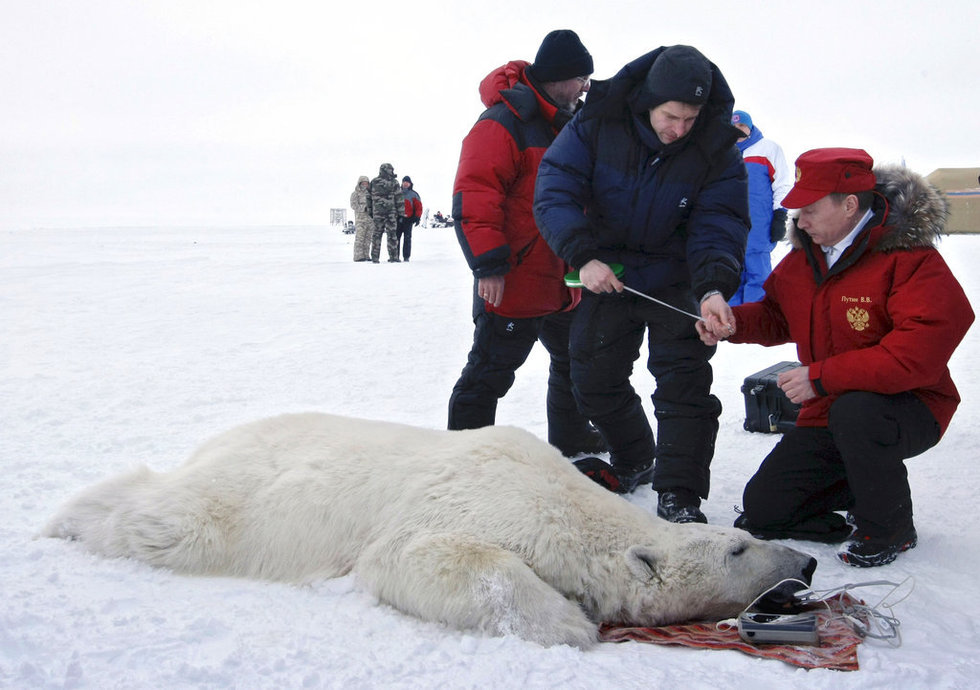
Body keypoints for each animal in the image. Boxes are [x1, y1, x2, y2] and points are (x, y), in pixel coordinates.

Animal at [42, 412, 816, 648]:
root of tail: (218, 441)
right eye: (738, 546)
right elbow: (414, 556)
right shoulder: (479, 497)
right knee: (171, 520)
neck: (570, 504)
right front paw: (570, 623)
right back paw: (66, 518)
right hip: (250, 499)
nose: (806, 563)